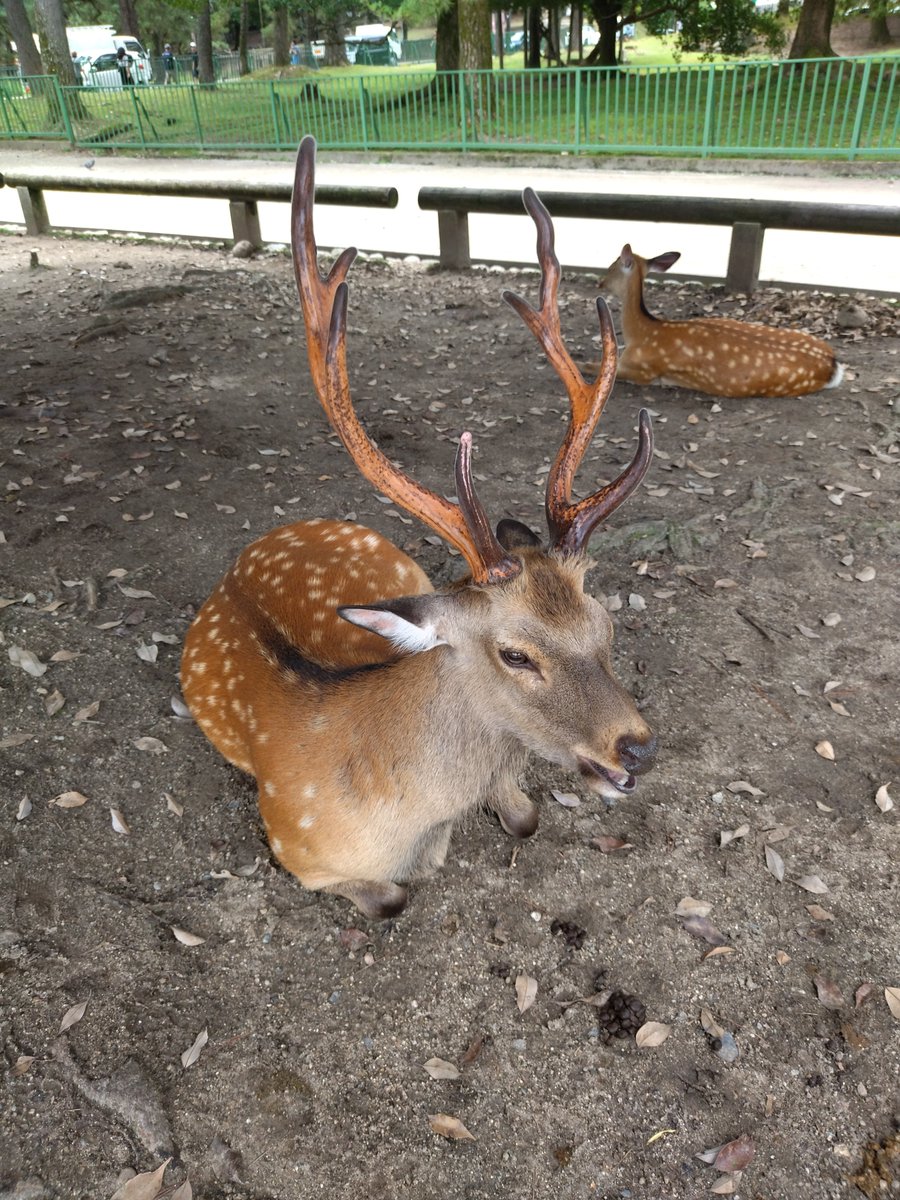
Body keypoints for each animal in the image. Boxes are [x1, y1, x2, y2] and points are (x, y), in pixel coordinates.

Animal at [180, 136, 658, 920]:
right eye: (516, 655)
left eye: (606, 626)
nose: (637, 748)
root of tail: (244, 555)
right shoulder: (293, 846)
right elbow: (391, 899)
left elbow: (524, 818)